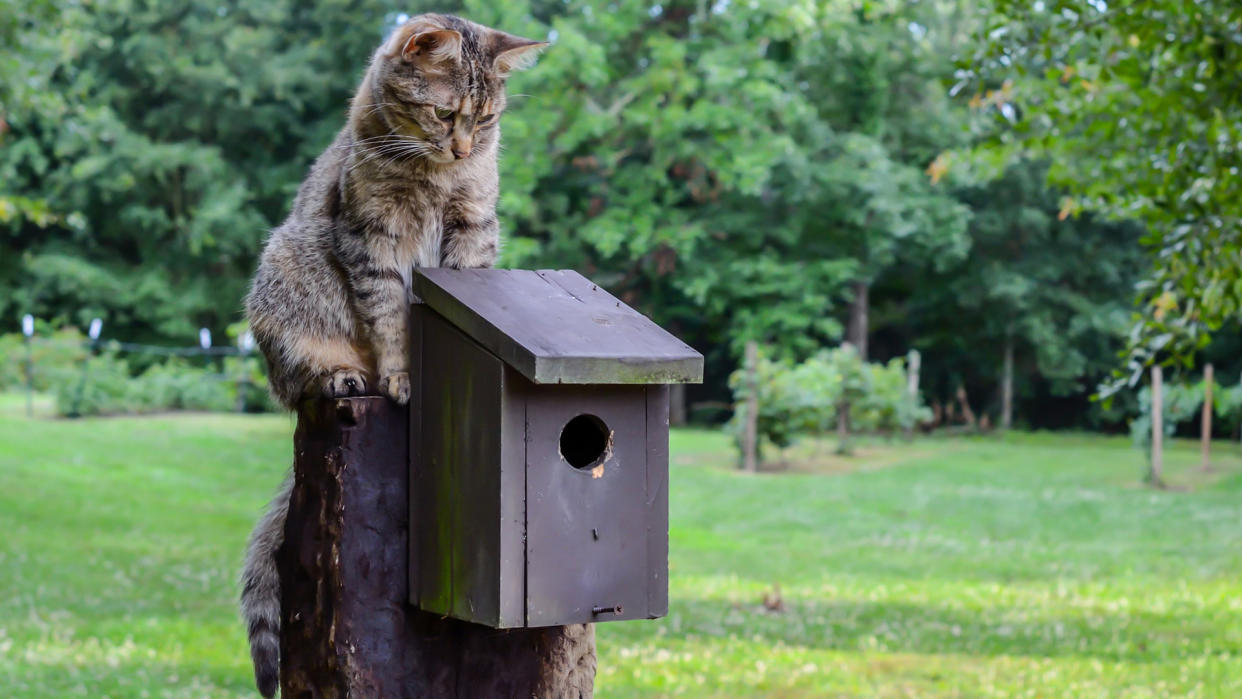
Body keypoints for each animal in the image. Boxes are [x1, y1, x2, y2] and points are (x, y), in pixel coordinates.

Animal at [237, 16, 543, 699]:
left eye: (486, 119)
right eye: (444, 113)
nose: (462, 149)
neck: (433, 174)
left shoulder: (472, 227)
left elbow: (462, 290)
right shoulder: (369, 238)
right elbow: (390, 318)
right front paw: (402, 373)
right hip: (285, 274)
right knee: (300, 380)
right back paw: (342, 376)